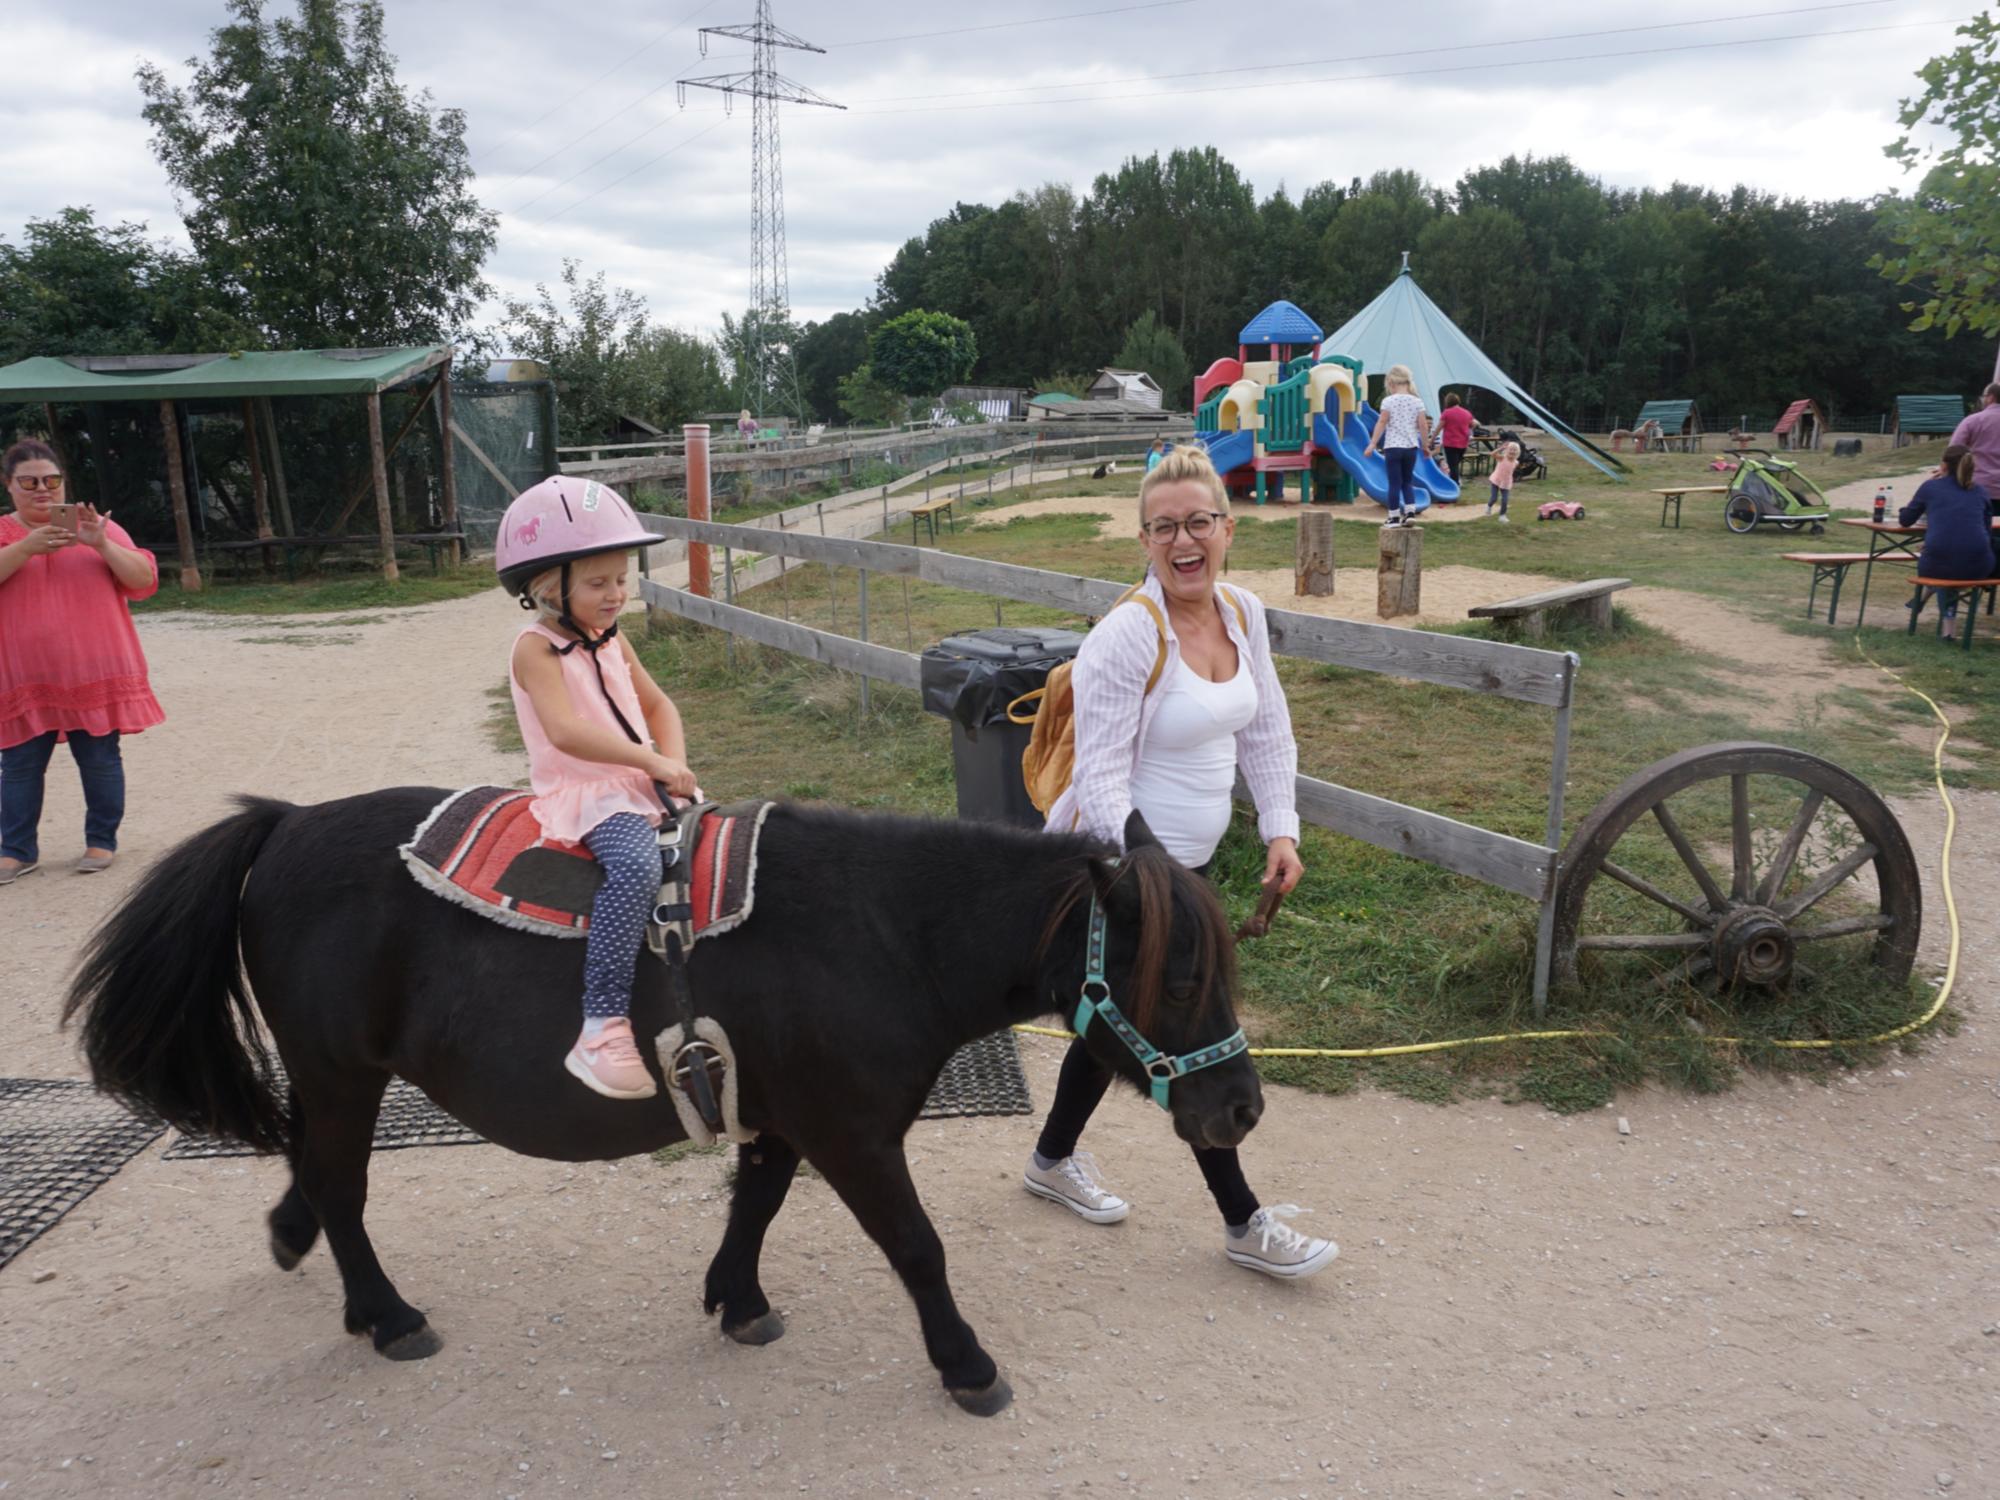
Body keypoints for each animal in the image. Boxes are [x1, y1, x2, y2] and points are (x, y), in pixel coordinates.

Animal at [70, 800, 1256, 1424]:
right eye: (1177, 975)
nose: (1238, 1109)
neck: (881, 933)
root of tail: (281, 827)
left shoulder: (783, 1116)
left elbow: (755, 1206)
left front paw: (738, 1300)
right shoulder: (854, 1134)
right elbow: (917, 1249)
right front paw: (966, 1364)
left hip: (335, 1079)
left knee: (314, 1173)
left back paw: (302, 1247)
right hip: (340, 1070)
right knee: (340, 1185)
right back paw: (388, 1314)